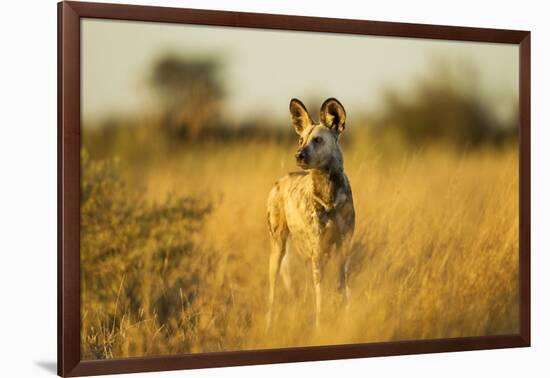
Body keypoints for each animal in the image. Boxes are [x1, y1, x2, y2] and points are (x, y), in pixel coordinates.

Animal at [268, 99, 358, 330]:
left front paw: (346, 316)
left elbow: (343, 285)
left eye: (317, 140)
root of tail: (280, 181)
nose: (298, 154)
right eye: (301, 140)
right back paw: (268, 324)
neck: (329, 196)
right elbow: (321, 296)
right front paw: (320, 324)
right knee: (272, 290)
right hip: (279, 249)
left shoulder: (343, 246)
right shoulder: (318, 249)